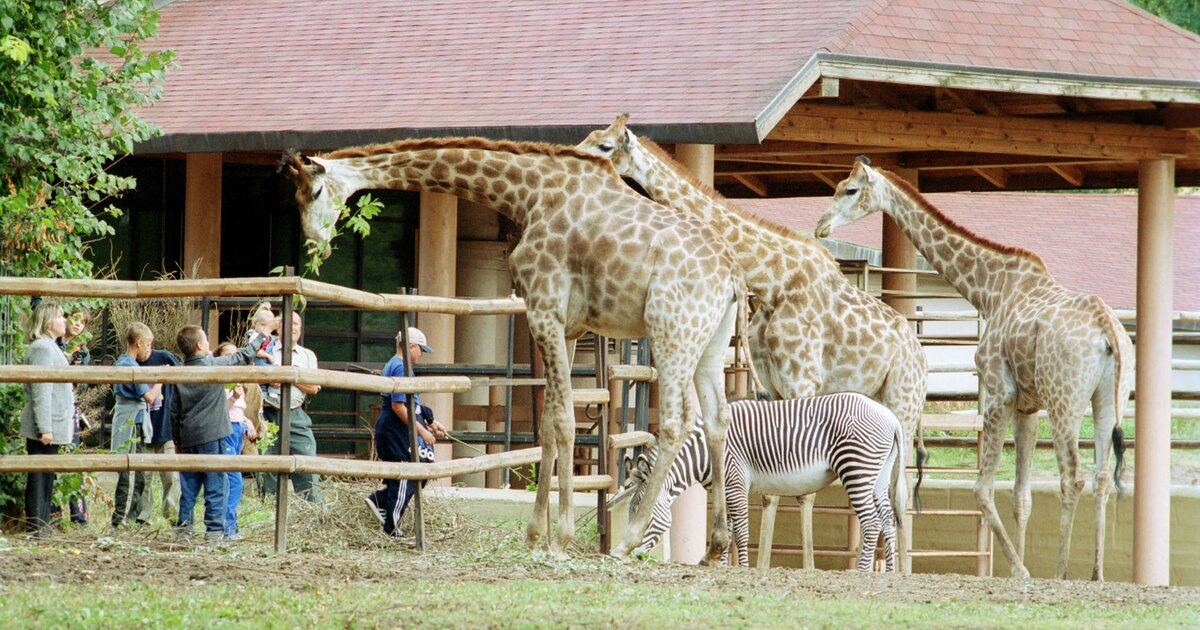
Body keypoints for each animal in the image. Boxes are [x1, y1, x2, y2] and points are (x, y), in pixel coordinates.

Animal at [284, 137, 744, 559]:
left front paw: (561, 538)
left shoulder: (545, 311)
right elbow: (548, 423)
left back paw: (628, 539)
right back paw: (716, 545)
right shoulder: (568, 326)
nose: (314, 245)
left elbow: (563, 421)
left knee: (676, 421)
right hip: (710, 343)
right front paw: (535, 535)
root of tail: (732, 276)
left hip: (671, 332)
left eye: (316, 191)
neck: (528, 195)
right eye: (297, 197)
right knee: (717, 419)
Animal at [614, 393, 902, 568]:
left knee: (872, 523)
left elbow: (741, 532)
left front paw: (741, 567)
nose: (633, 556)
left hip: (856, 469)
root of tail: (891, 417)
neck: (703, 452)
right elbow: (727, 530)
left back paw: (861, 571)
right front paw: (720, 564)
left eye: (644, 516)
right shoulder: (725, 490)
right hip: (878, 475)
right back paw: (889, 572)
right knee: (887, 521)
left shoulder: (735, 482)